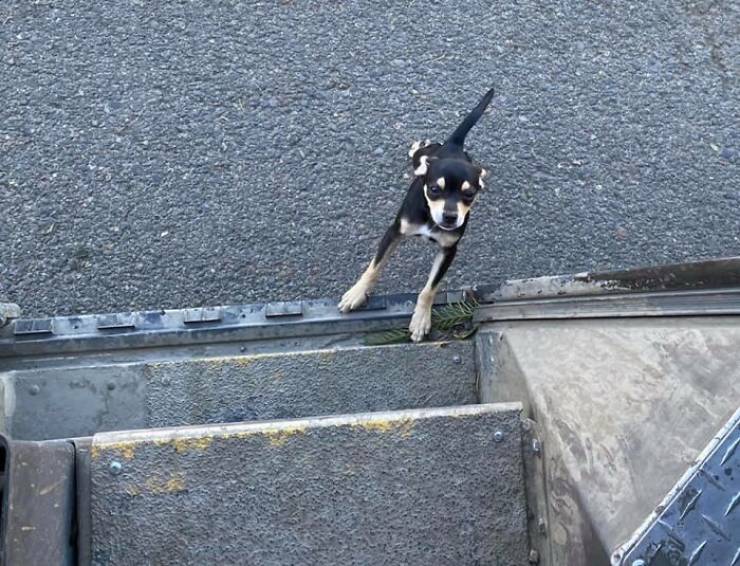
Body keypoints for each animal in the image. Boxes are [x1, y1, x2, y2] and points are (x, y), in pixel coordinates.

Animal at [338, 89, 494, 342]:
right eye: (434, 189)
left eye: (469, 194)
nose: (450, 217)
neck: (430, 218)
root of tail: (453, 146)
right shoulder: (394, 232)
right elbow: (374, 268)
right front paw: (356, 294)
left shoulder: (448, 250)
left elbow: (429, 289)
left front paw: (421, 319)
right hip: (423, 155)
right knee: (421, 152)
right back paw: (418, 148)